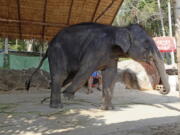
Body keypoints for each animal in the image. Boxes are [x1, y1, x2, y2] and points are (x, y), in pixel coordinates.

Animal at [25, 22, 170, 109]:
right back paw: (58, 106)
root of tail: (49, 46)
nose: (161, 90)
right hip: (57, 52)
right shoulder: (95, 49)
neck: (119, 28)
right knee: (61, 75)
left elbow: (110, 74)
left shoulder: (111, 56)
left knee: (66, 77)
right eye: (146, 45)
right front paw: (68, 95)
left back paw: (52, 101)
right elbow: (86, 70)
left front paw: (107, 109)